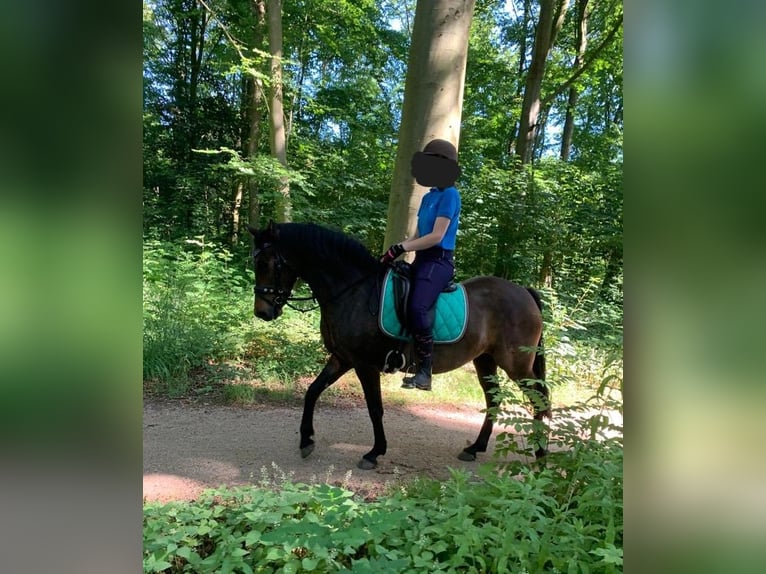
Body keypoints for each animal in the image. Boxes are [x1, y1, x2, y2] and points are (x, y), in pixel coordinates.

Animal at [249, 223, 548, 470]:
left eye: (266, 263)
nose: (262, 312)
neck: (352, 291)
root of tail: (524, 292)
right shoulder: (341, 359)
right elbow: (312, 392)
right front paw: (306, 441)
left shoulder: (364, 365)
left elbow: (375, 408)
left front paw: (374, 453)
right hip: (485, 360)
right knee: (493, 400)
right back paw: (475, 448)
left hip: (515, 364)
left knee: (540, 399)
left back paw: (541, 456)